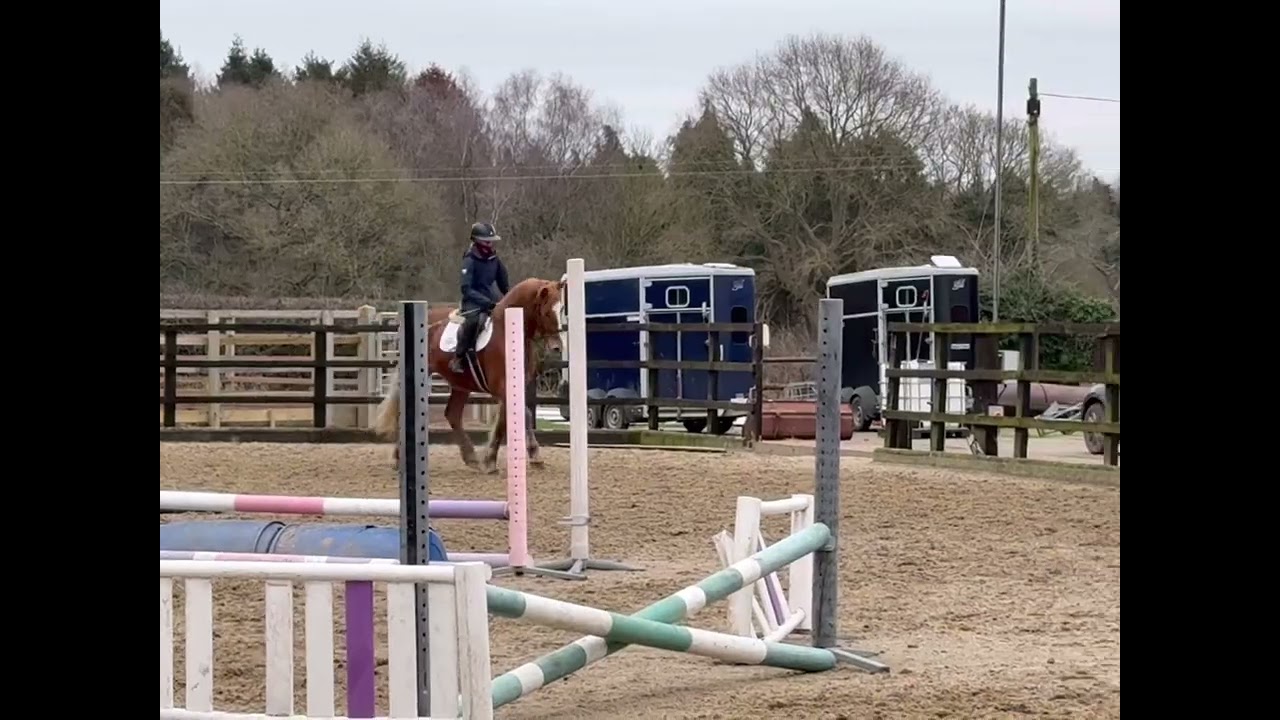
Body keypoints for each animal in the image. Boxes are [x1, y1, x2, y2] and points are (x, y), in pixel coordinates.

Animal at [374, 278, 564, 474]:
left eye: (562, 309)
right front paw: (531, 456)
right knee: (402, 410)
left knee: (452, 414)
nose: (557, 348)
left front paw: (491, 459)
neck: (506, 330)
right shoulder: (502, 387)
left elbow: (505, 421)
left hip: (461, 384)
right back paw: (398, 458)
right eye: (547, 312)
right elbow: (524, 414)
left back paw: (471, 457)